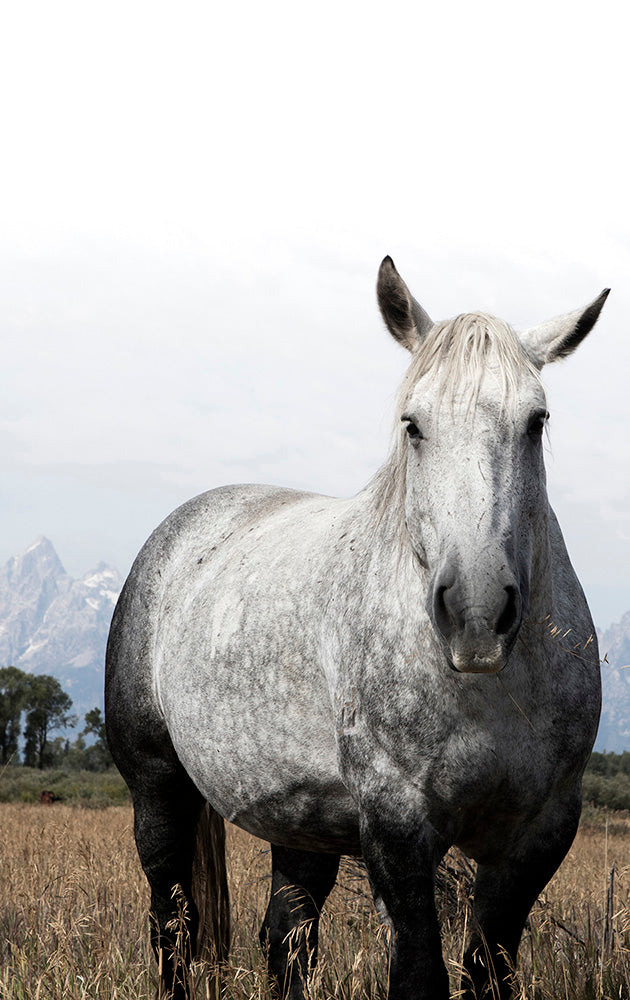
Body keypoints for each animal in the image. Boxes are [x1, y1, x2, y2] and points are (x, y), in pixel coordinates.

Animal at [106, 260, 608, 1000]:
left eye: (535, 421)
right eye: (413, 425)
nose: (477, 613)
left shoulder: (539, 835)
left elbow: (487, 972)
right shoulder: (398, 828)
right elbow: (420, 974)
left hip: (301, 822)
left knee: (286, 941)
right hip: (157, 789)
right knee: (174, 929)